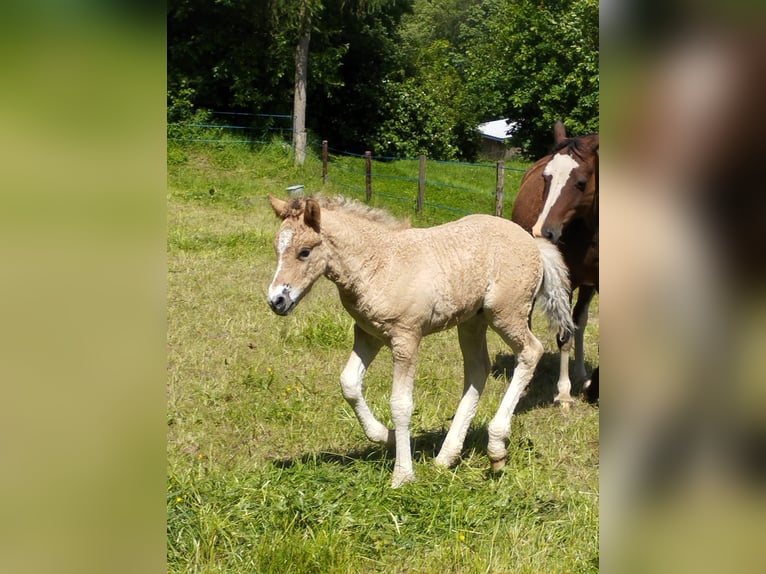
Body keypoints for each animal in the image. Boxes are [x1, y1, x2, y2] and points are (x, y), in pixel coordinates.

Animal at [268, 196, 572, 488]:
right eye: (276, 248)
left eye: (304, 251)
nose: (276, 301)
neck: (379, 263)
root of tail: (533, 242)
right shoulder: (368, 333)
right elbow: (349, 384)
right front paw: (387, 437)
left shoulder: (406, 338)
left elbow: (401, 404)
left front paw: (402, 475)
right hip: (472, 321)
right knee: (478, 369)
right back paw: (446, 457)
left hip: (505, 313)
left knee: (531, 351)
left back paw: (496, 447)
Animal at [516, 122, 600, 404]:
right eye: (546, 177)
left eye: (581, 182)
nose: (543, 230)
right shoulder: (567, 281)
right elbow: (564, 335)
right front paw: (563, 393)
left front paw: (587, 382)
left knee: (580, 321)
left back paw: (581, 373)